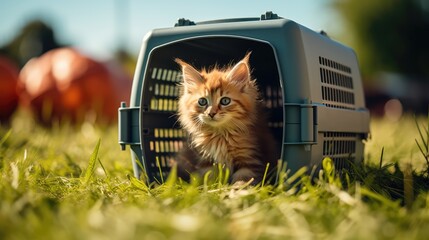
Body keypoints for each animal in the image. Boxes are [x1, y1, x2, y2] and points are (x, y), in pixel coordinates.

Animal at [174, 52, 278, 184]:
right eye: (202, 101)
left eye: (225, 101)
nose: (211, 113)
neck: (220, 135)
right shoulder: (206, 161)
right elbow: (210, 180)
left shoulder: (249, 159)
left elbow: (242, 181)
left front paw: (236, 189)